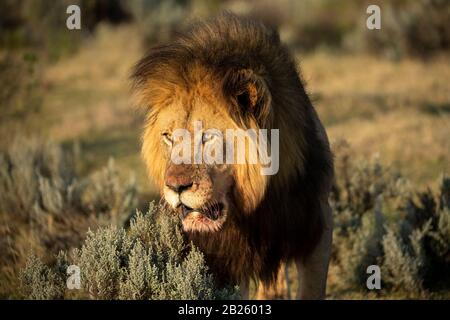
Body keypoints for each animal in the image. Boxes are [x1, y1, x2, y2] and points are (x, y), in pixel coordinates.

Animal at [131, 11, 334, 298]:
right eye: (168, 137)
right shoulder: (225, 258)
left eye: (207, 137)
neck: (256, 206)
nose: (175, 187)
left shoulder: (317, 226)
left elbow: (311, 289)